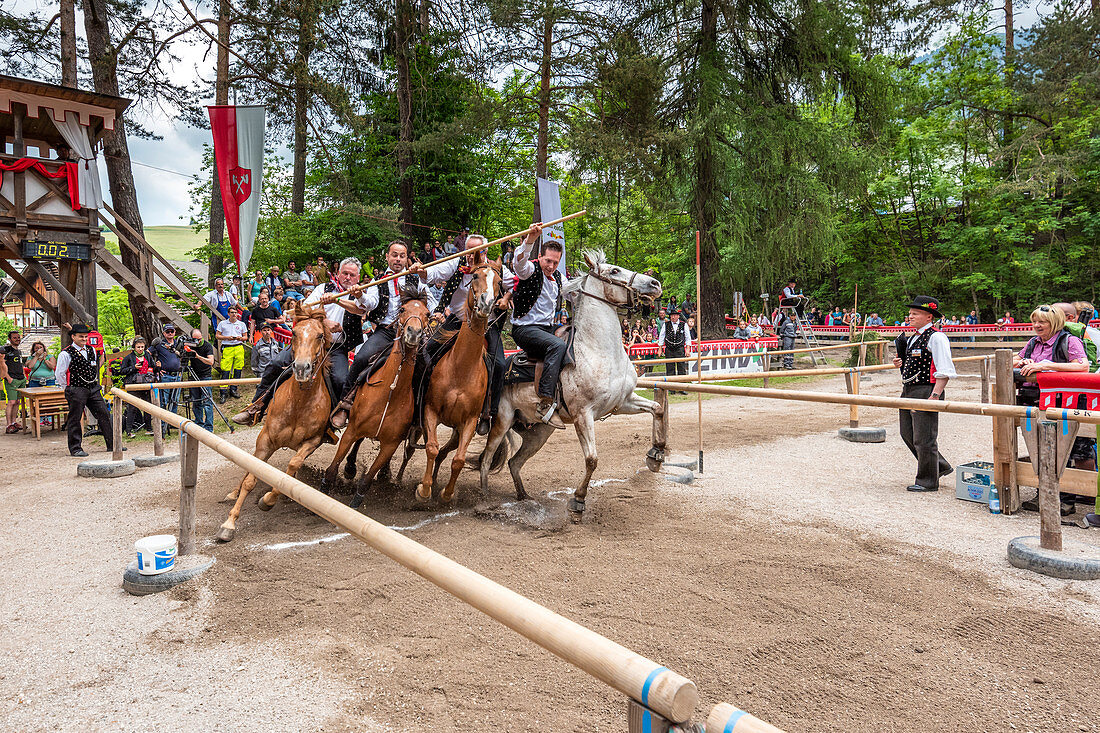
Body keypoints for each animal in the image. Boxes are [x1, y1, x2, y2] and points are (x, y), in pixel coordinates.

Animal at [214, 299, 334, 541]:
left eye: (319, 335)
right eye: (295, 333)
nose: (301, 368)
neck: (299, 403)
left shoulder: (312, 442)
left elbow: (291, 467)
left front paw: (269, 500)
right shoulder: (266, 440)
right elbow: (250, 479)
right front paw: (229, 524)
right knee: (248, 467)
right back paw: (234, 492)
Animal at [321, 288, 429, 506]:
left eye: (427, 314)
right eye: (402, 309)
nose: (413, 333)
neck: (390, 392)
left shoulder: (390, 445)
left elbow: (366, 482)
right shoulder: (351, 430)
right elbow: (332, 469)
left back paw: (383, 473)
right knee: (359, 441)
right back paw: (350, 467)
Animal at [413, 256, 503, 501]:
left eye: (499, 282)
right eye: (475, 276)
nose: (486, 304)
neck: (461, 368)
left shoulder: (470, 422)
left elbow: (459, 460)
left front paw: (446, 493)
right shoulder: (430, 410)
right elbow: (431, 448)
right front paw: (423, 490)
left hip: (457, 430)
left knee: (446, 452)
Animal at [484, 250, 668, 519]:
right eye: (614, 270)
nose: (655, 284)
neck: (598, 350)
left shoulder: (623, 402)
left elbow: (658, 409)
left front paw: (656, 454)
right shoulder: (583, 414)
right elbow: (592, 459)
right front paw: (578, 501)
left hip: (539, 432)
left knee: (513, 462)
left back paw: (524, 498)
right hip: (501, 421)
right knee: (486, 460)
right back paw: (482, 500)